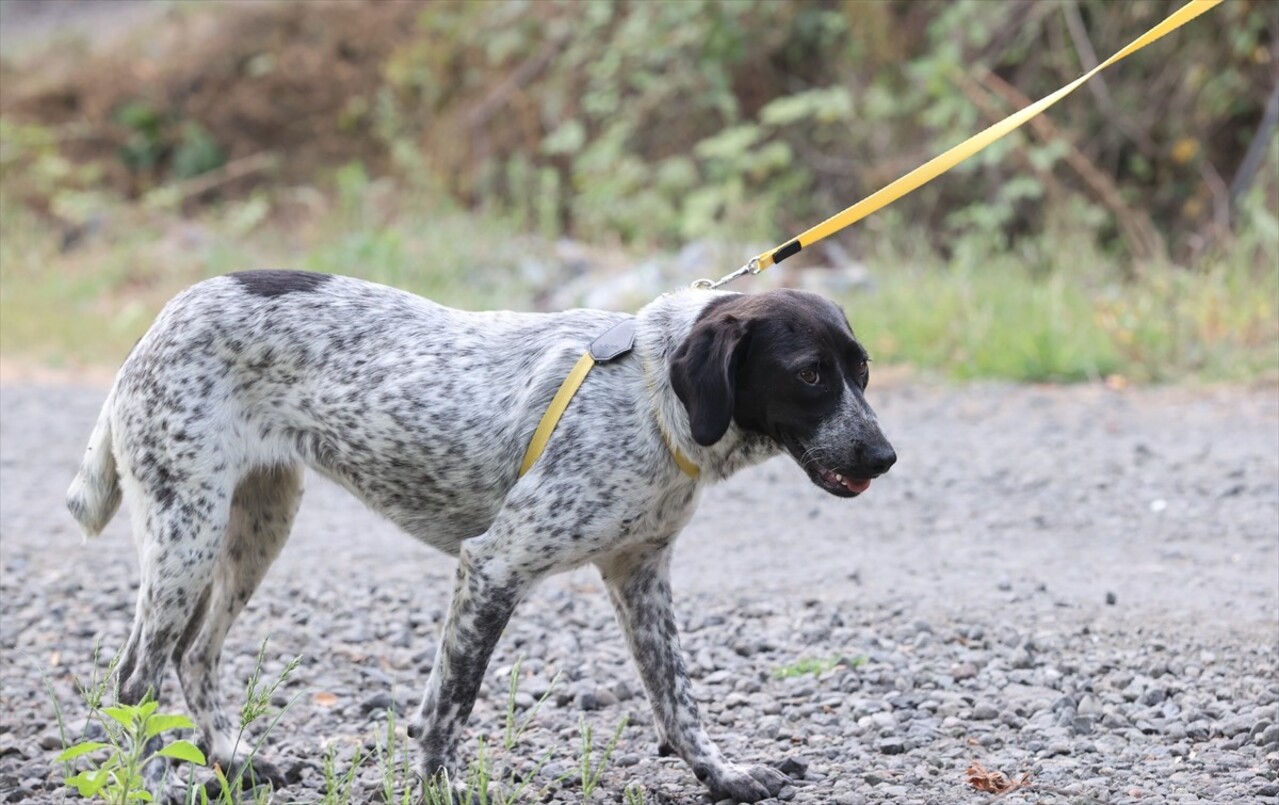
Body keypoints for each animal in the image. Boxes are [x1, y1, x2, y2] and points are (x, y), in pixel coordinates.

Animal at [64, 268, 895, 798]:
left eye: (861, 369)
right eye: (809, 373)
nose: (884, 456)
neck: (653, 399)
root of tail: (163, 317)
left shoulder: (640, 575)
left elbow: (676, 699)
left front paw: (721, 774)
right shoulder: (493, 565)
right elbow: (450, 703)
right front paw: (440, 783)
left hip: (257, 524)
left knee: (195, 653)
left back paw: (237, 761)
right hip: (188, 531)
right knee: (136, 674)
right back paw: (157, 780)